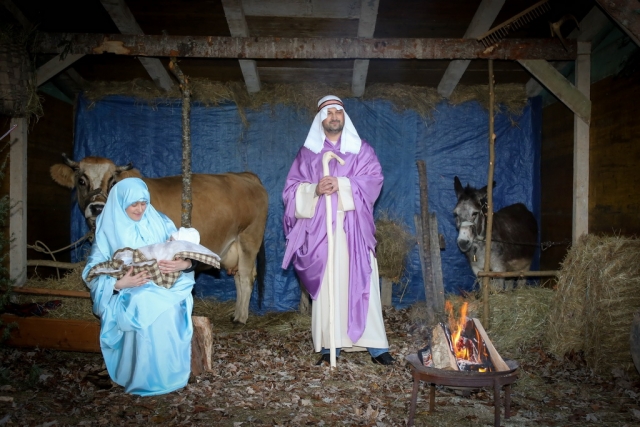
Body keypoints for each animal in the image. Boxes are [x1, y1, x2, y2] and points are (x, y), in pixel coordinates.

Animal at [50, 155, 268, 326]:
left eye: (113, 181)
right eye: (81, 181)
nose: (97, 207)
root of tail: (244, 175)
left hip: (249, 237)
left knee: (246, 277)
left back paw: (241, 318)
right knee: (239, 277)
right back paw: (236, 313)